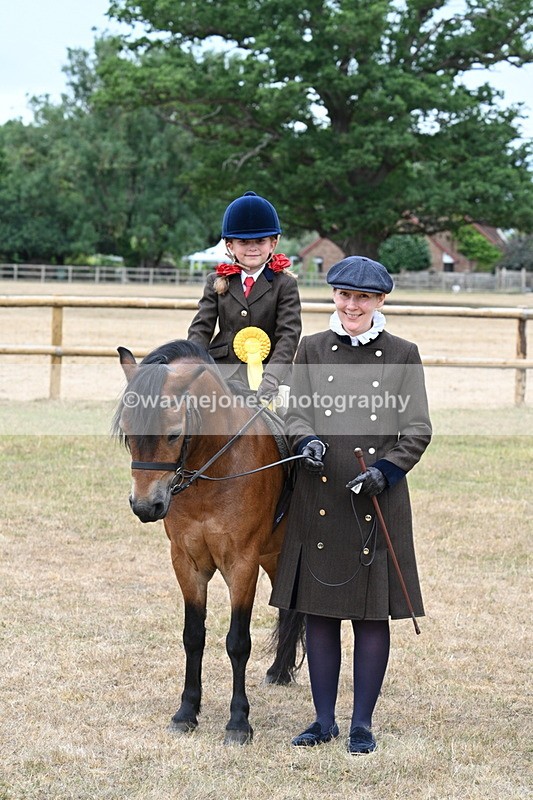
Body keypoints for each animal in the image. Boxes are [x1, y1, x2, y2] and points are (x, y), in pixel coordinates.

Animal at [112, 339, 304, 744]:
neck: (213, 470)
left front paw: (238, 722)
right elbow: (193, 635)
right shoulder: (187, 563)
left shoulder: (241, 565)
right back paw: (279, 671)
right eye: (127, 432)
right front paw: (186, 712)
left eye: (172, 433)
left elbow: (238, 641)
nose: (146, 506)